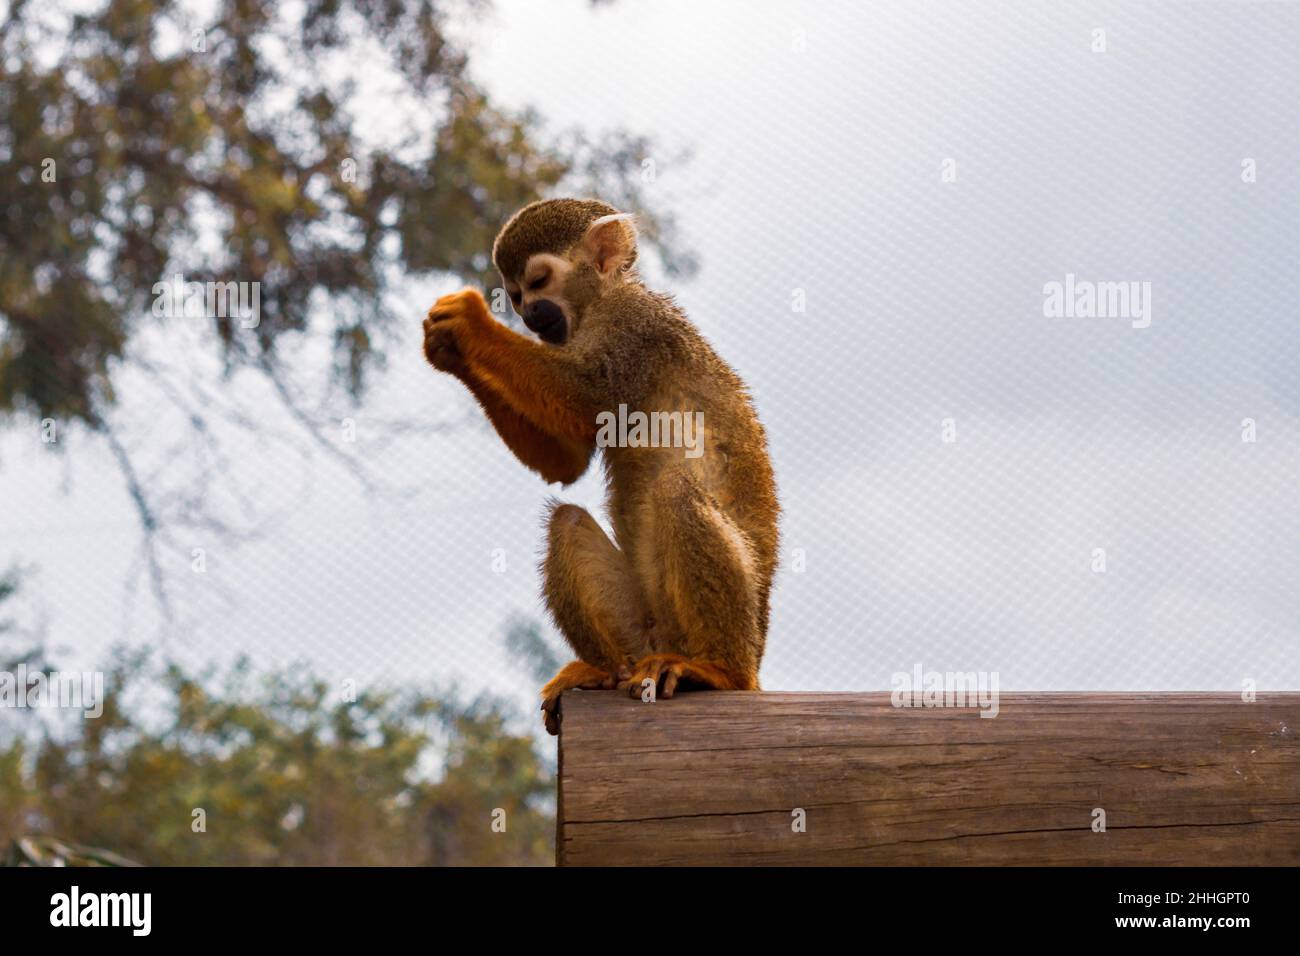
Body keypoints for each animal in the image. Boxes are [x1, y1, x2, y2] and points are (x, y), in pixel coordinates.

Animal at [421, 197, 774, 738]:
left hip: (736, 633)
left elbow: (583, 397)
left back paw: (718, 671)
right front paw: (448, 351)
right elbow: (566, 459)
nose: (530, 315)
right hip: (645, 631)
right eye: (517, 295)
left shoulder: (634, 328)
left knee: (676, 490)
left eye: (539, 282)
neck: (599, 303)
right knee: (567, 522)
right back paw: (608, 672)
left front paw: (470, 324)